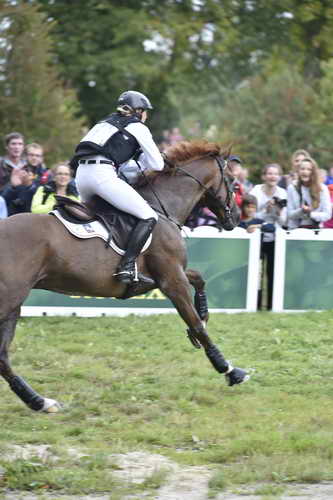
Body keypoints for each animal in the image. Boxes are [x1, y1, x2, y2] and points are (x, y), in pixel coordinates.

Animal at [0, 140, 248, 414]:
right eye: (233, 181)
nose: (236, 218)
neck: (163, 208)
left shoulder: (170, 274)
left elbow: (199, 279)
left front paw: (204, 312)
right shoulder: (172, 280)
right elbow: (196, 324)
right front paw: (230, 370)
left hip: (14, 305)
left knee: (2, 357)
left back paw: (39, 402)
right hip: (9, 300)